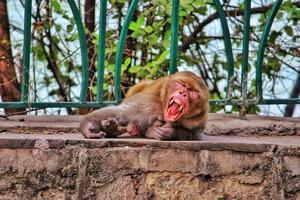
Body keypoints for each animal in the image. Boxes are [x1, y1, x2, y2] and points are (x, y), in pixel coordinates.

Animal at [79, 71, 209, 140]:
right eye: (181, 84)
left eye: (192, 91)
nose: (183, 93)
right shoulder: (148, 99)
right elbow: (122, 112)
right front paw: (88, 126)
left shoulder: (199, 119)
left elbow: (195, 135)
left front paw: (168, 132)